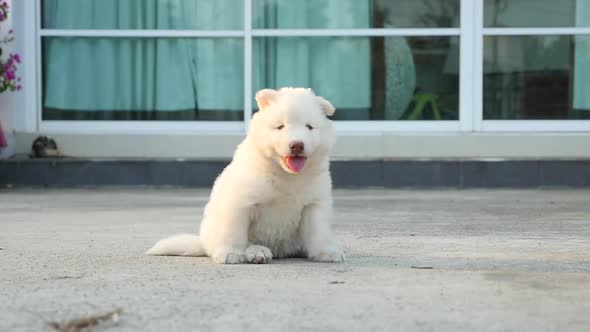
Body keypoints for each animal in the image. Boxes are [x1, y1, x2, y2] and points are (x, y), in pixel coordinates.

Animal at [145, 87, 344, 264]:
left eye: (309, 127)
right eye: (280, 126)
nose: (297, 145)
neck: (286, 175)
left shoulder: (314, 203)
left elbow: (318, 231)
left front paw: (326, 253)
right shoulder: (241, 202)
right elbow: (235, 232)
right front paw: (231, 254)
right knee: (243, 243)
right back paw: (257, 252)